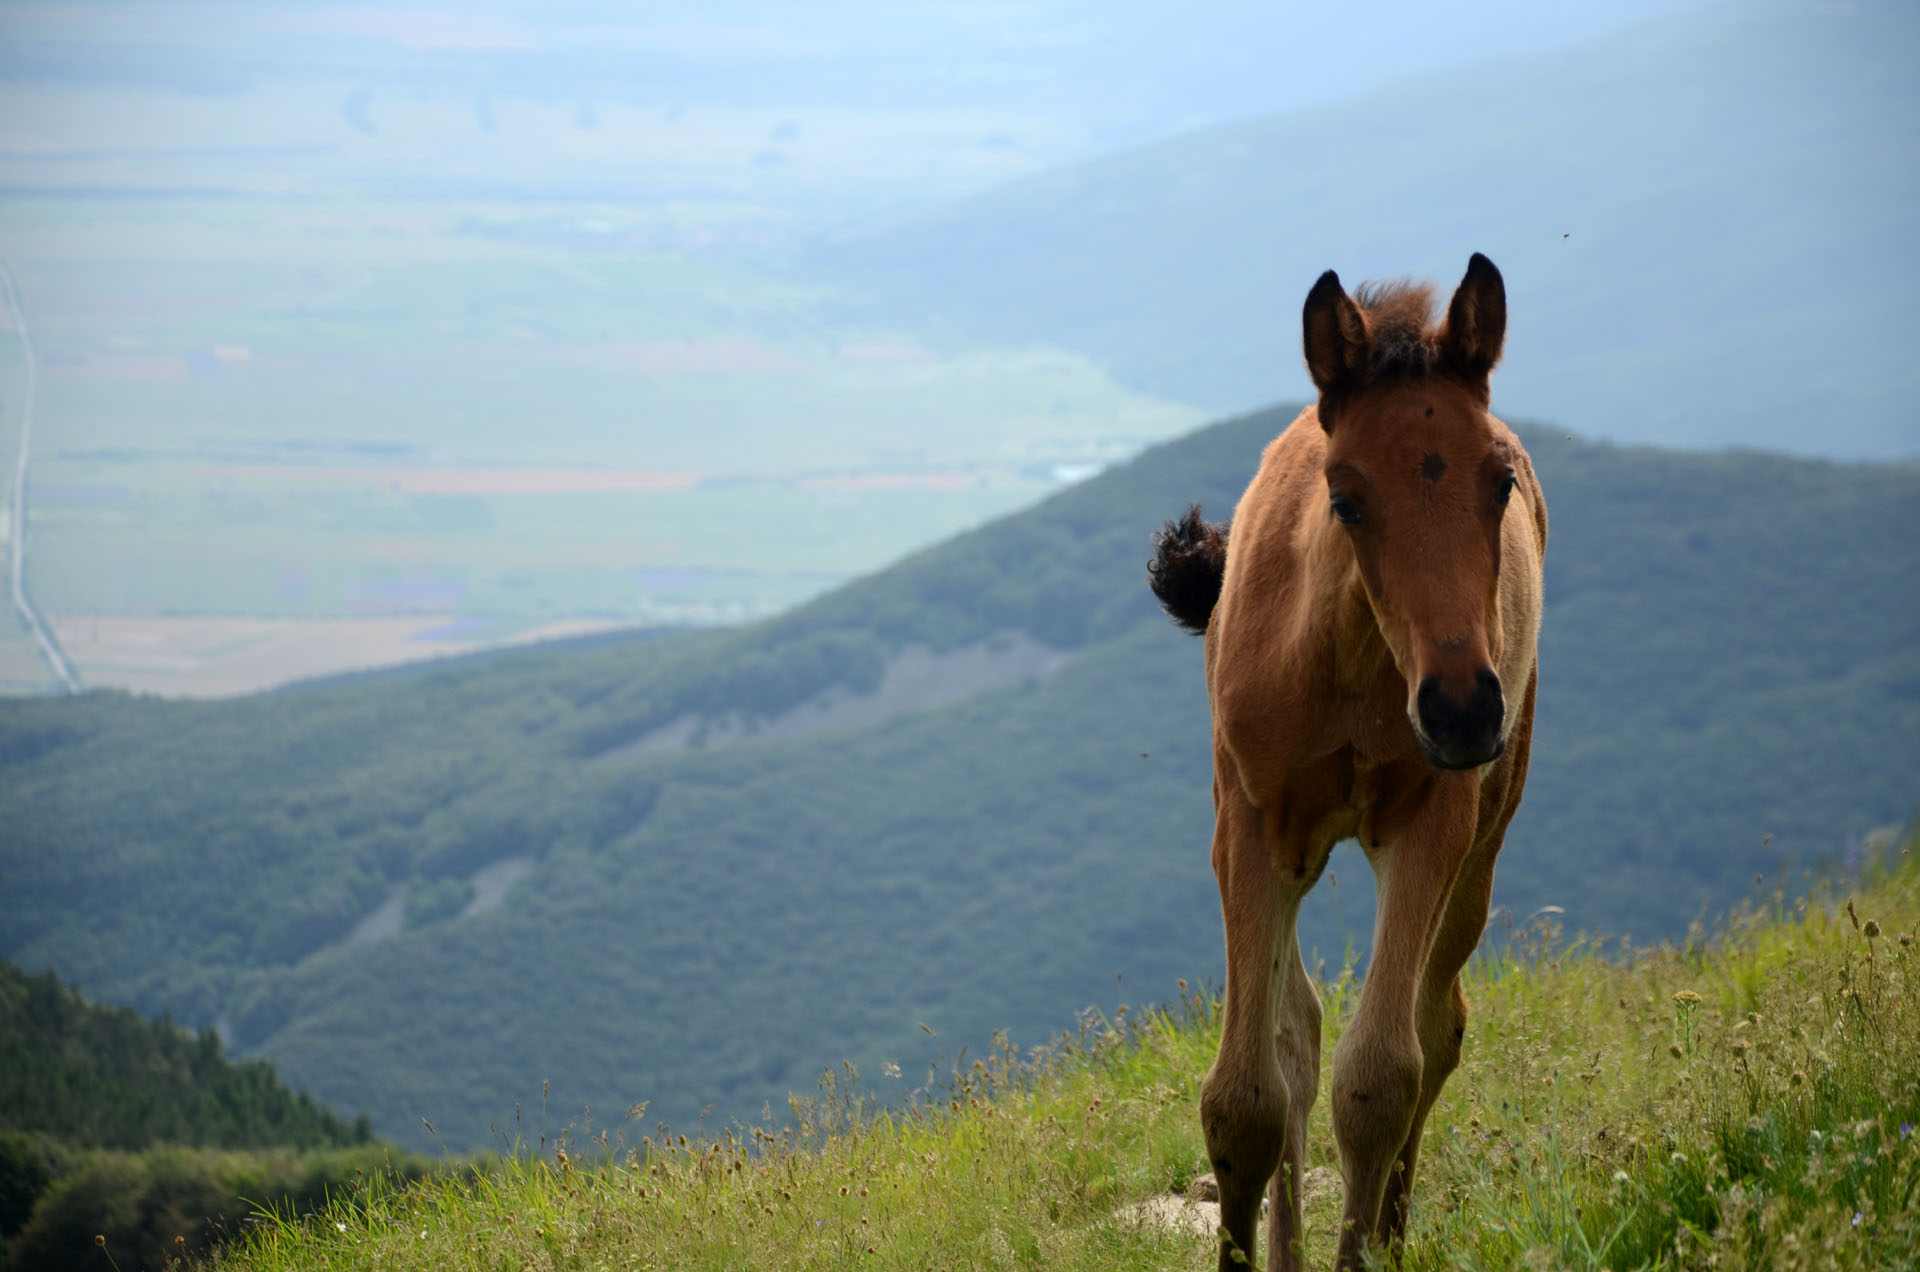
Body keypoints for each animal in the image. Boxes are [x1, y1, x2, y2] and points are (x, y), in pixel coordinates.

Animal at [1144, 253, 1551, 1268]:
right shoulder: (1252, 830)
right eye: (1346, 496)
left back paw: (1395, 1233)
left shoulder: (1429, 825)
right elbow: (1247, 1096)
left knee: (1436, 1027)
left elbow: (1379, 1078)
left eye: (1499, 483)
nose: (1461, 709)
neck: (1355, 670)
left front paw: (1362, 1251)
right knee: (1299, 1032)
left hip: (1484, 837)